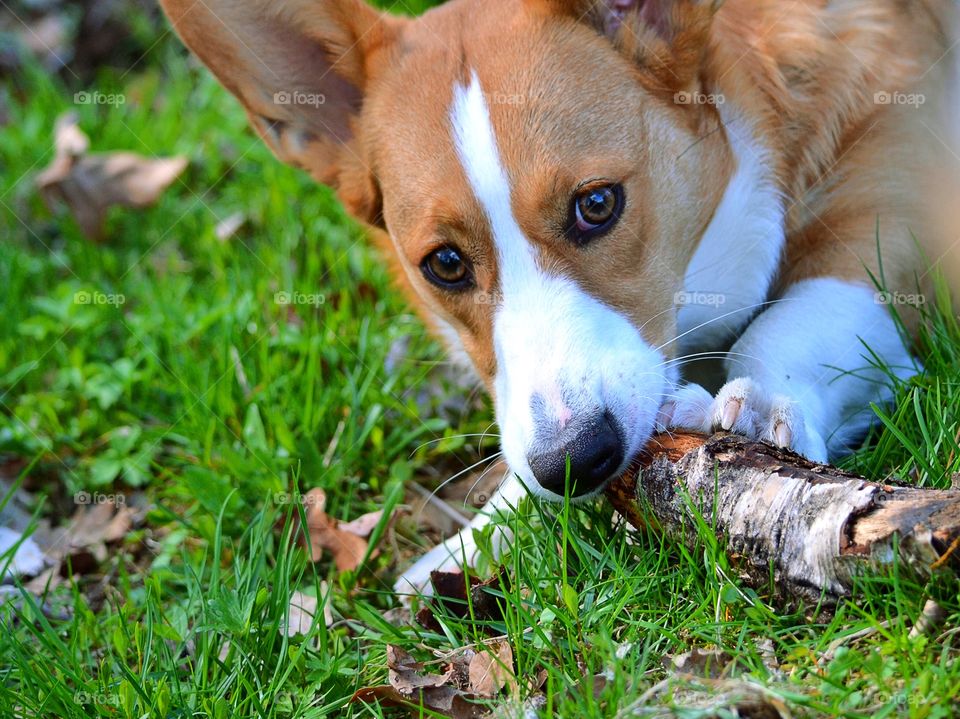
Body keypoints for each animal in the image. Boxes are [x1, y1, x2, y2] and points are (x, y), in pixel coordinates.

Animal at [161, 0, 956, 592]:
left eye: (597, 204)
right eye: (444, 263)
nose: (575, 462)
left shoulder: (888, 225)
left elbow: (799, 317)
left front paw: (761, 402)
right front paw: (473, 541)